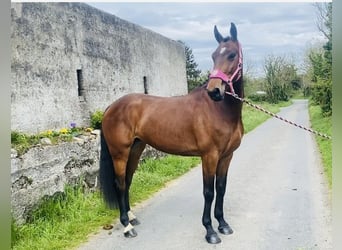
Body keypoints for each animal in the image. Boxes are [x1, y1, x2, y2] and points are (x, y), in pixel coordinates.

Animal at [99, 22, 243, 243]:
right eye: (213, 56)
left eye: (232, 55)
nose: (214, 91)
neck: (221, 111)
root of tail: (111, 107)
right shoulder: (209, 156)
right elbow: (208, 192)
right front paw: (210, 231)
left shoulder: (227, 156)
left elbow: (221, 188)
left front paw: (223, 224)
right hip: (119, 153)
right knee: (120, 184)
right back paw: (126, 226)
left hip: (135, 149)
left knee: (127, 181)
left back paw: (131, 217)